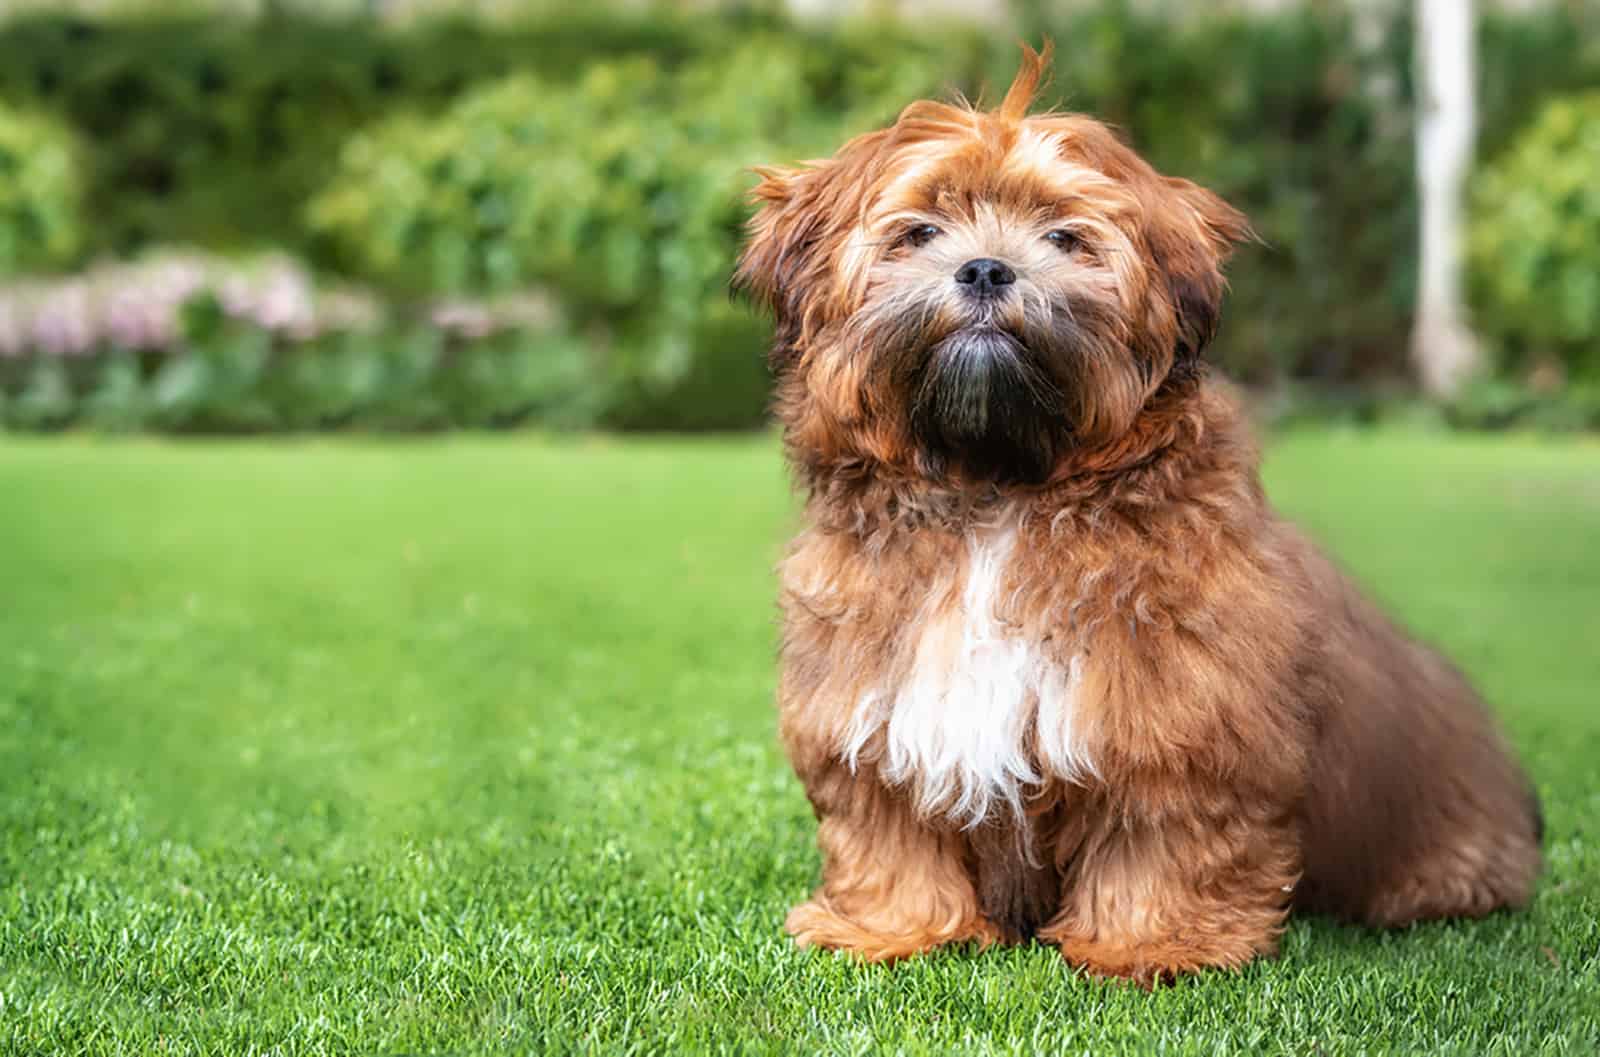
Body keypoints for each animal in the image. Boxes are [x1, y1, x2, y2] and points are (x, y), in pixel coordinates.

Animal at [732, 41, 1536, 978]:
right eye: (921, 231)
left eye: (1063, 237)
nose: (986, 268)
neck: (995, 493)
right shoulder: (870, 701)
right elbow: (886, 826)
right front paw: (891, 927)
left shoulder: (1182, 715)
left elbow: (1163, 831)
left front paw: (1148, 942)